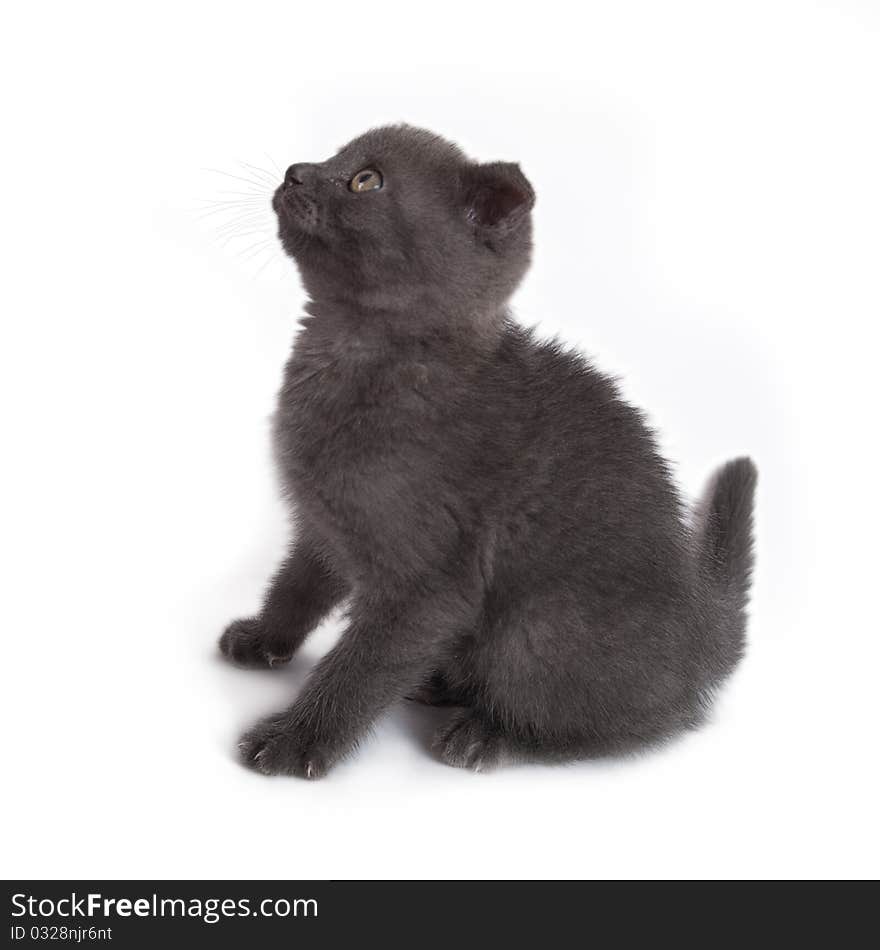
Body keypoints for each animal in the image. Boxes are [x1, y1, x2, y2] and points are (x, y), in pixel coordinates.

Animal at [220, 124, 756, 780]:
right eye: (333, 156)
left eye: (366, 180)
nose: (296, 171)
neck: (349, 352)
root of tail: (704, 632)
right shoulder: (327, 524)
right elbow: (297, 584)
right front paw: (263, 639)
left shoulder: (430, 582)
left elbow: (360, 668)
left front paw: (295, 741)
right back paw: (439, 685)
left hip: (538, 627)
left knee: (622, 726)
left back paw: (484, 735)